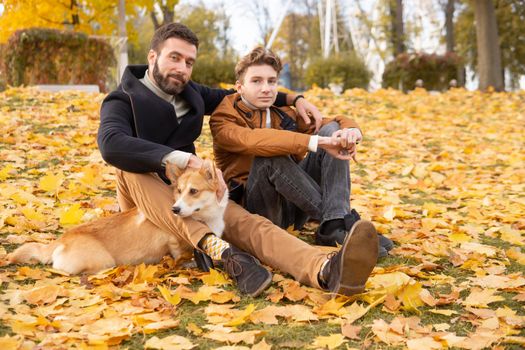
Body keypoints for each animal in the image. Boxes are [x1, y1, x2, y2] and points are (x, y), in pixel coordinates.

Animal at [5, 161, 227, 274]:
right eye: (179, 191)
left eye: (193, 191)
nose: (174, 209)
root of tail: (61, 240)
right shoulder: (173, 242)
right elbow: (181, 254)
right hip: (103, 261)